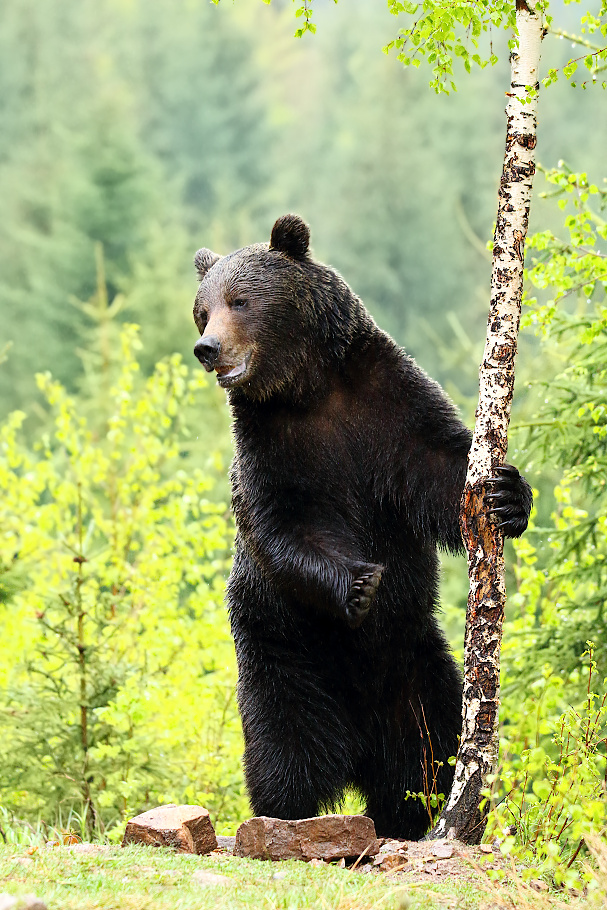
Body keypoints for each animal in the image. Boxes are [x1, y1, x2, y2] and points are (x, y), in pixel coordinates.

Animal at [191, 214, 532, 840]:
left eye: (240, 300)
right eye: (203, 310)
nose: (208, 349)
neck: (307, 388)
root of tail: (358, 746)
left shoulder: (385, 402)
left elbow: (440, 466)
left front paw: (506, 496)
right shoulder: (270, 445)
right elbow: (282, 523)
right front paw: (360, 583)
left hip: (417, 670)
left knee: (428, 754)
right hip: (283, 654)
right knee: (285, 750)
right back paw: (282, 818)